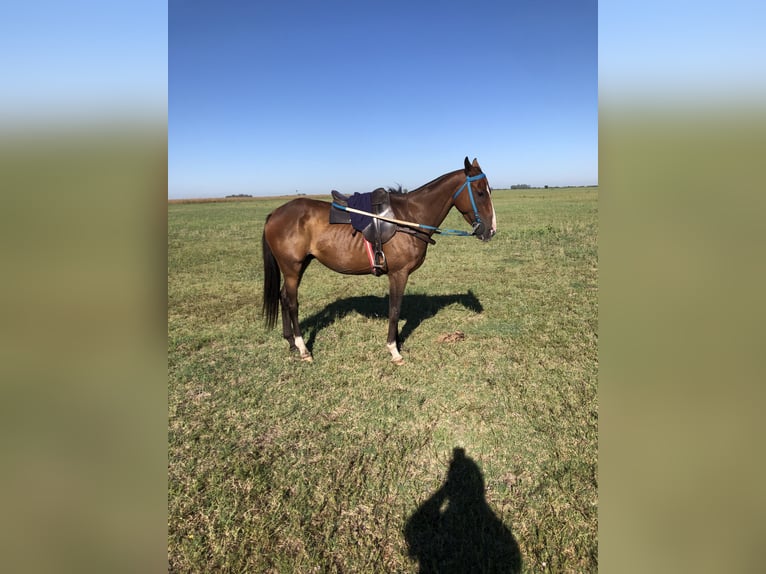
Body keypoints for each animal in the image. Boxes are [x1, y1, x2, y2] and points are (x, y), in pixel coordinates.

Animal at [260, 158, 496, 364]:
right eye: (480, 192)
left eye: (489, 191)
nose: (491, 230)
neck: (409, 218)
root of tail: (275, 214)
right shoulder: (398, 274)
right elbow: (395, 309)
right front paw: (394, 350)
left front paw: (398, 342)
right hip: (292, 268)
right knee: (292, 302)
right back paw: (303, 348)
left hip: (299, 265)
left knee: (283, 297)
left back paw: (291, 342)